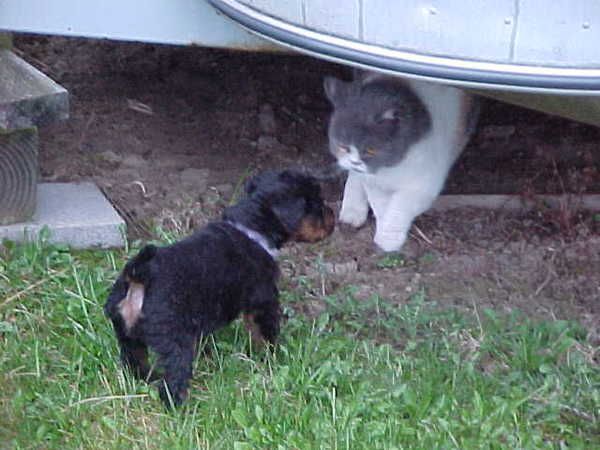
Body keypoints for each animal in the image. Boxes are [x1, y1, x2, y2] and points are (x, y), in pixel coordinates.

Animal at [104, 169, 335, 406]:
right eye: (316, 204)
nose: (332, 216)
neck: (250, 228)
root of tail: (140, 274)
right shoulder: (263, 303)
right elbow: (264, 334)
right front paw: (270, 357)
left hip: (127, 334)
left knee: (134, 360)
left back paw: (148, 378)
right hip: (175, 342)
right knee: (173, 377)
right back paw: (179, 405)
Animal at [324, 71, 479, 252]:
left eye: (371, 150)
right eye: (343, 146)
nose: (355, 162)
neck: (391, 167)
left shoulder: (423, 185)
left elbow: (400, 206)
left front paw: (388, 240)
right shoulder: (375, 183)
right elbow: (381, 204)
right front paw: (384, 232)